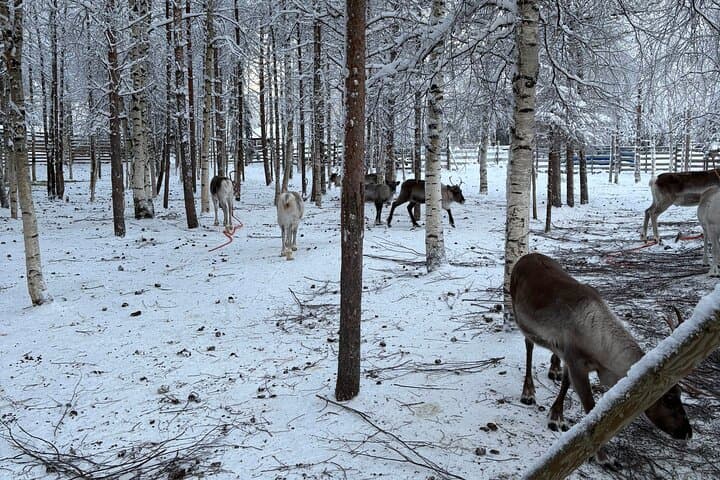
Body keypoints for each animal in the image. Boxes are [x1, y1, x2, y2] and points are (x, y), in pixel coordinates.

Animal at [510, 252, 692, 466]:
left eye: (679, 393)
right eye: (668, 399)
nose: (687, 432)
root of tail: (526, 256)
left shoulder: (571, 357)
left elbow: (565, 384)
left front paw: (556, 414)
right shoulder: (577, 362)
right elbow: (590, 408)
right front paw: (604, 457)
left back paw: (554, 369)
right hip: (521, 319)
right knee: (529, 346)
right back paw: (528, 392)